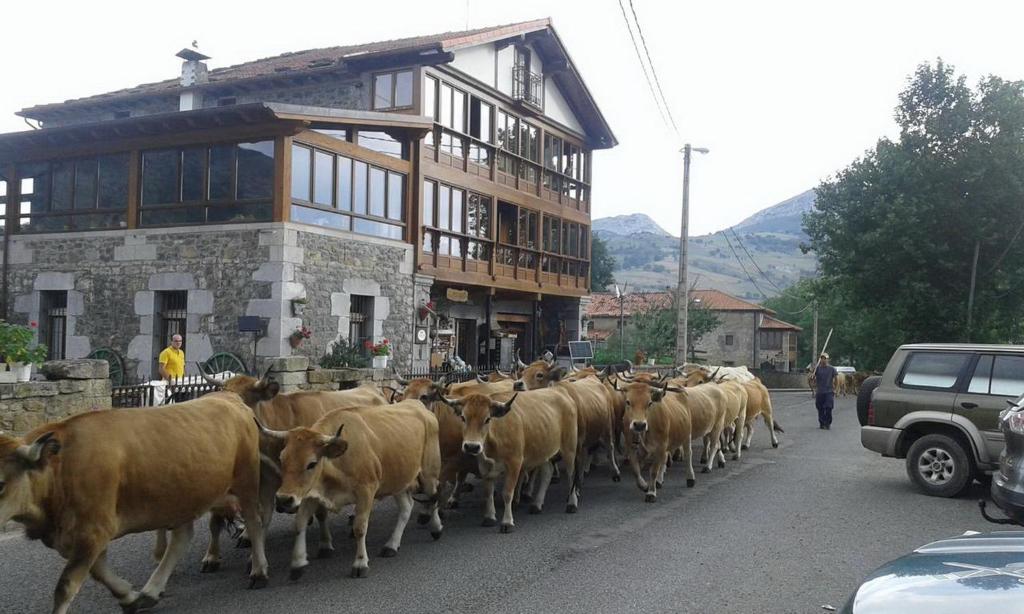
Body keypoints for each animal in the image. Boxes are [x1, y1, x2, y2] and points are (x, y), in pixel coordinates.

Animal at [262, 401, 442, 577]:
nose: (283, 499)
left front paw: (360, 563)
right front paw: (298, 562)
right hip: (398, 480)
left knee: (433, 498)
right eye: (282, 459)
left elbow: (359, 527)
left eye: (311, 464)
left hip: (429, 474)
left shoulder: (366, 491)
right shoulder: (310, 494)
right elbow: (300, 524)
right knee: (406, 507)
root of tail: (419, 406)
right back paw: (391, 545)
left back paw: (436, 528)